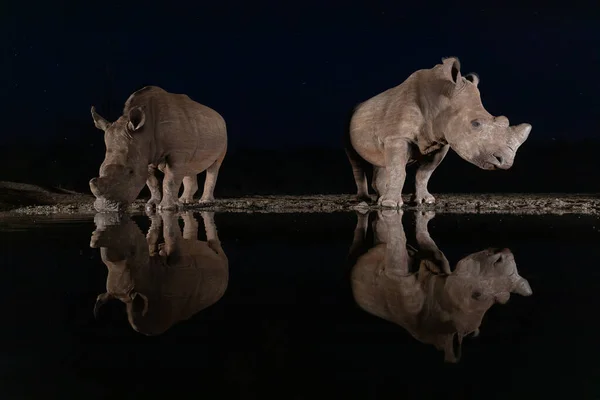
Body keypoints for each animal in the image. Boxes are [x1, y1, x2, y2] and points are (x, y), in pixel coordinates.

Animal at [89, 85, 227, 212]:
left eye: (131, 172)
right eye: (100, 168)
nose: (106, 208)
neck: (145, 131)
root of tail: (218, 115)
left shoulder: (176, 152)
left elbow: (170, 179)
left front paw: (167, 208)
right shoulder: (144, 153)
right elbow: (152, 181)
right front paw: (151, 205)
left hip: (222, 132)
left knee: (214, 166)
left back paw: (205, 202)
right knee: (188, 165)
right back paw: (184, 201)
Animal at [344, 57, 532, 208]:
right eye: (476, 123)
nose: (506, 162)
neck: (441, 99)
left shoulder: (440, 142)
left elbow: (424, 173)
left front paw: (425, 201)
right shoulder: (398, 137)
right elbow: (398, 170)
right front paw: (390, 205)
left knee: (381, 159)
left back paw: (380, 197)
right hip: (349, 118)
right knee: (356, 160)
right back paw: (366, 200)